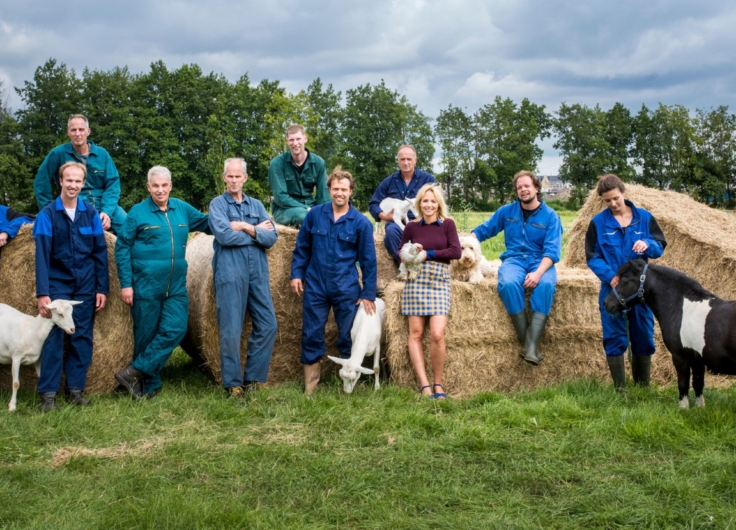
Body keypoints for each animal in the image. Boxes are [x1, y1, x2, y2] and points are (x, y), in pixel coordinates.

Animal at [604, 258, 736, 408]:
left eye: (625, 280)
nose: (606, 303)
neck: (682, 307)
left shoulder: (680, 356)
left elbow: (683, 384)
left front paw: (683, 407)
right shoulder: (696, 358)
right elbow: (698, 384)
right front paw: (699, 408)